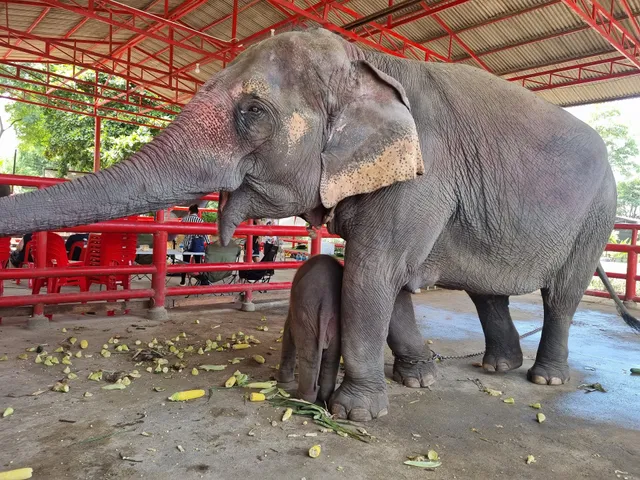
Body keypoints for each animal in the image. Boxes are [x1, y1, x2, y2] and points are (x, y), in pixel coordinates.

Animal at [0, 28, 638, 422]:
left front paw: (356, 413)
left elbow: (375, 273)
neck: (373, 62)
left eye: (252, 112)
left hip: (596, 214)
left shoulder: (422, 177)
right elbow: (384, 280)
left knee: (561, 295)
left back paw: (545, 380)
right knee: (490, 295)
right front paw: (419, 380)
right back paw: (496, 366)